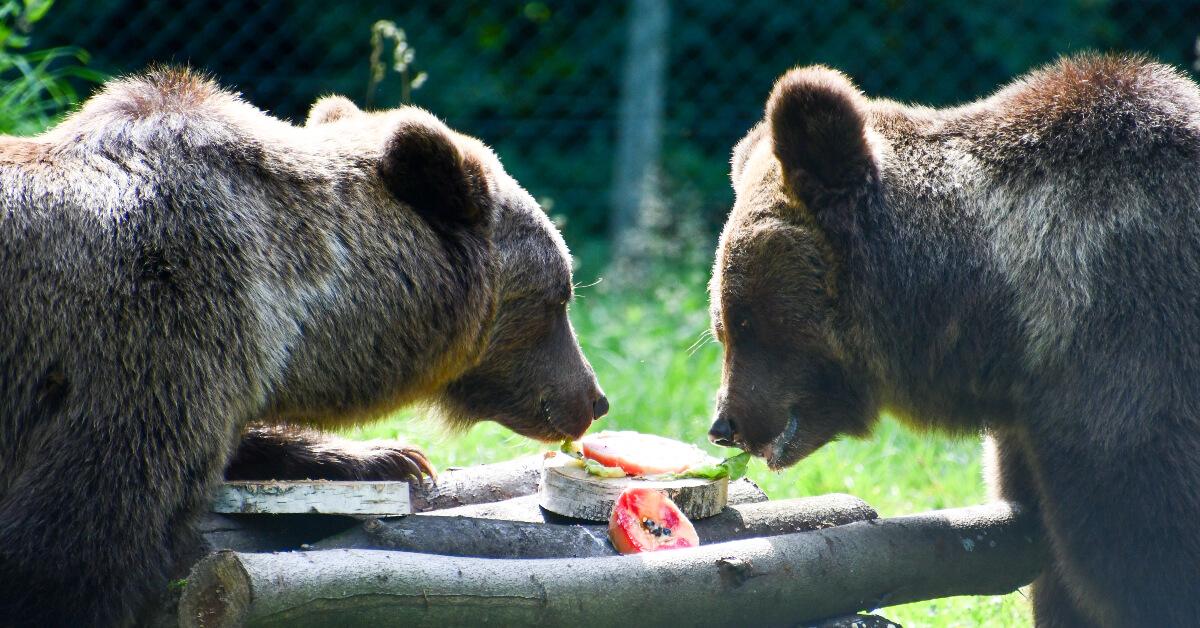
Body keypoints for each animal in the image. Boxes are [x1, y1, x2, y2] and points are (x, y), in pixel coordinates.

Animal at [705, 55, 1200, 628]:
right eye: (721, 325)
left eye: (744, 321)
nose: (724, 424)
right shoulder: (1033, 431)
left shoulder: (1132, 363)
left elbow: (1145, 554)